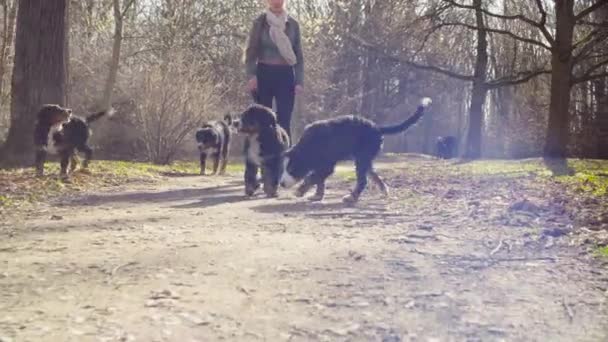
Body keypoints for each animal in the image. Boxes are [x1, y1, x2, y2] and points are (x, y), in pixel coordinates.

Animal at [278, 97, 430, 203]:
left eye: (291, 169)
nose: (281, 184)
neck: (309, 145)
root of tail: (377, 128)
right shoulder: (320, 165)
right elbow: (319, 180)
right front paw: (317, 196)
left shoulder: (327, 165)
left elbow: (313, 177)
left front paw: (300, 191)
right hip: (365, 159)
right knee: (373, 175)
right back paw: (384, 190)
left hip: (362, 159)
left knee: (363, 181)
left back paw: (351, 197)